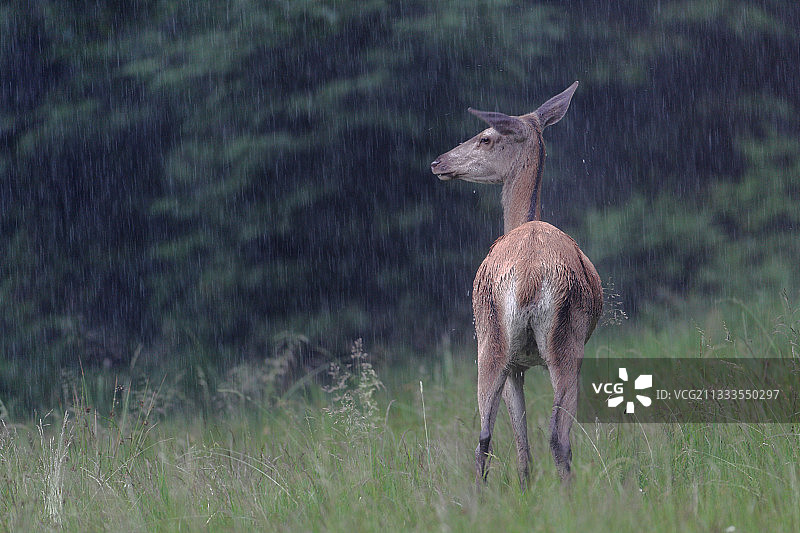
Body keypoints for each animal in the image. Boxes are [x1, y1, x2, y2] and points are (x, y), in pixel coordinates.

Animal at [430, 82, 602, 488]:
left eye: (486, 137)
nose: (438, 162)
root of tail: (528, 279)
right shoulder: (521, 363)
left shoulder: (516, 364)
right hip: (548, 345)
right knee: (509, 437)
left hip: (499, 343)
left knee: (506, 436)